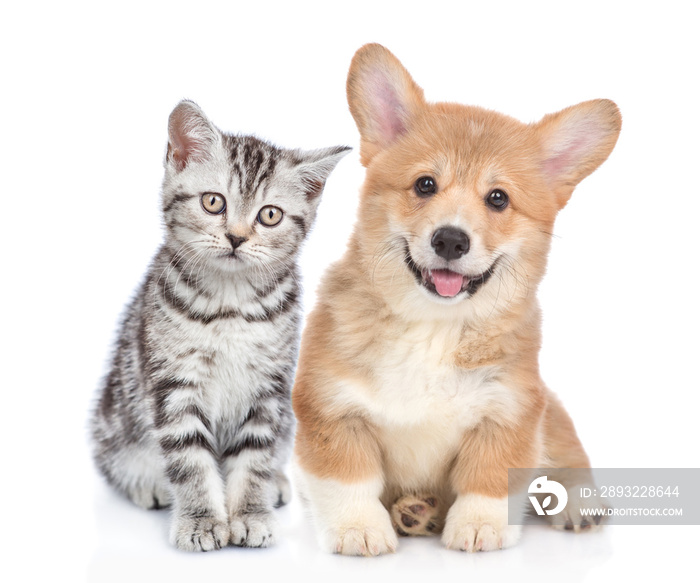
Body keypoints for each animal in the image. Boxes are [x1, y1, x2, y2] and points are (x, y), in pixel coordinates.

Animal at [91, 100, 348, 552]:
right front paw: (201, 520)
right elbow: (190, 460)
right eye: (213, 202)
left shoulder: (269, 388)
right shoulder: (174, 383)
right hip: (112, 418)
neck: (230, 304)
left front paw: (250, 513)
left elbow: (254, 457)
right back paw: (146, 485)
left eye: (269, 215)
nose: (236, 237)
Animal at [292, 45, 620, 556]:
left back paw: (577, 501)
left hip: (550, 411)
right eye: (425, 185)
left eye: (498, 198)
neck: (432, 326)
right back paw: (414, 512)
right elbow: (348, 480)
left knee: (566, 448)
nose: (450, 239)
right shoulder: (332, 409)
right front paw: (358, 529)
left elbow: (489, 480)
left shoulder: (509, 411)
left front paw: (480, 527)